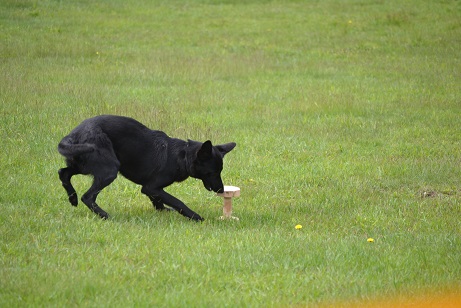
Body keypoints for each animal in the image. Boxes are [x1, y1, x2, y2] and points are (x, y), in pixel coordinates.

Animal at [58, 114, 235, 220]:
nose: (221, 190)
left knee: (63, 173)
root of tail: (74, 134)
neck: (183, 156)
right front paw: (195, 217)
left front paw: (164, 210)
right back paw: (104, 215)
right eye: (212, 172)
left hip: (84, 165)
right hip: (109, 170)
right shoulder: (151, 187)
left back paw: (72, 198)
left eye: (220, 171)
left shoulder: (151, 189)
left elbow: (159, 203)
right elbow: (177, 202)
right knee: (87, 197)